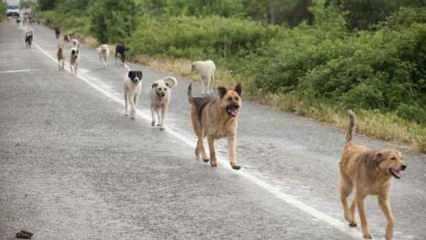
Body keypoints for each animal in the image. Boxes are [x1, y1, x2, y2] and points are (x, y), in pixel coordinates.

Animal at [340, 110, 406, 240]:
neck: (379, 175)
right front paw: (366, 233)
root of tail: (350, 145)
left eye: (401, 158)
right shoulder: (362, 197)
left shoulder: (383, 199)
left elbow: (392, 219)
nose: (404, 166)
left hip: (357, 190)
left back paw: (352, 219)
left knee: (352, 202)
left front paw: (389, 234)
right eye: (392, 158)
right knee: (343, 199)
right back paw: (348, 216)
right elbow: (364, 218)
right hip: (348, 185)